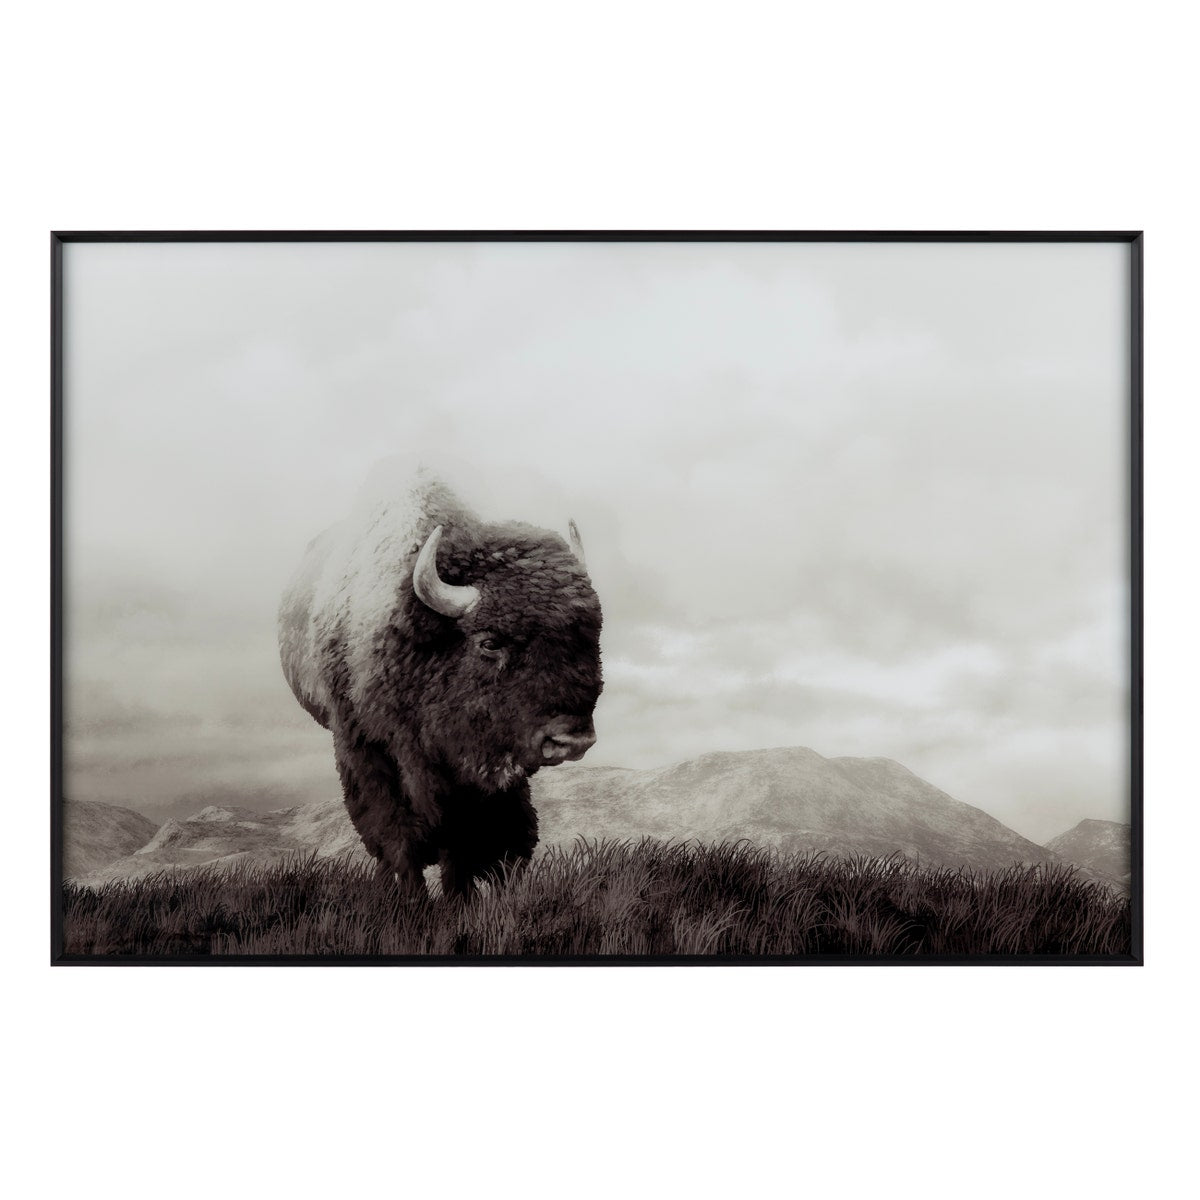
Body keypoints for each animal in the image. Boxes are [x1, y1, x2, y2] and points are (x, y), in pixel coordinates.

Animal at [278, 468, 603, 898]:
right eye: (489, 642)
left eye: (591, 636)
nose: (572, 738)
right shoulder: (366, 747)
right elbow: (397, 835)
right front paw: (414, 899)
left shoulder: (475, 777)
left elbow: (469, 840)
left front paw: (462, 897)